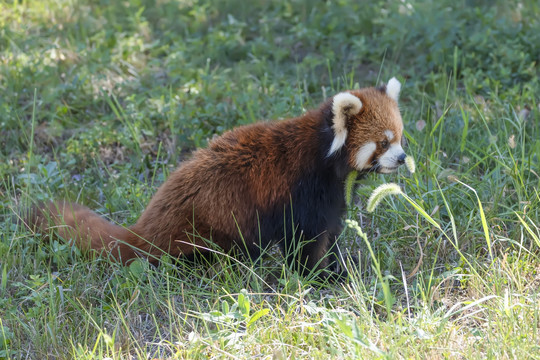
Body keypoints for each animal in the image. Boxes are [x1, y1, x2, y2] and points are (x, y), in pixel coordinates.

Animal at [29, 77, 408, 278]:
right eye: (383, 142)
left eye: (400, 138)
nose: (403, 158)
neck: (325, 156)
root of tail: (144, 229)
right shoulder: (302, 191)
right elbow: (305, 240)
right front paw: (320, 276)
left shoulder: (332, 196)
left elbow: (331, 232)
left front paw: (340, 266)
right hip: (202, 232)